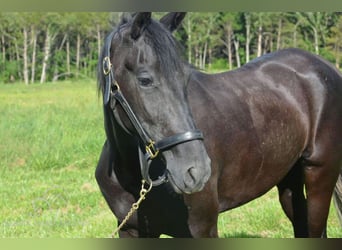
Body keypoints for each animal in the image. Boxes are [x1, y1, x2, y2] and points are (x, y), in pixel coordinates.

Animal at [95, 12, 342, 237]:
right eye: (144, 80)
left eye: (185, 78)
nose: (196, 170)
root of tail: (326, 68)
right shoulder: (131, 230)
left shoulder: (202, 228)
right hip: (290, 178)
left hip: (319, 175)